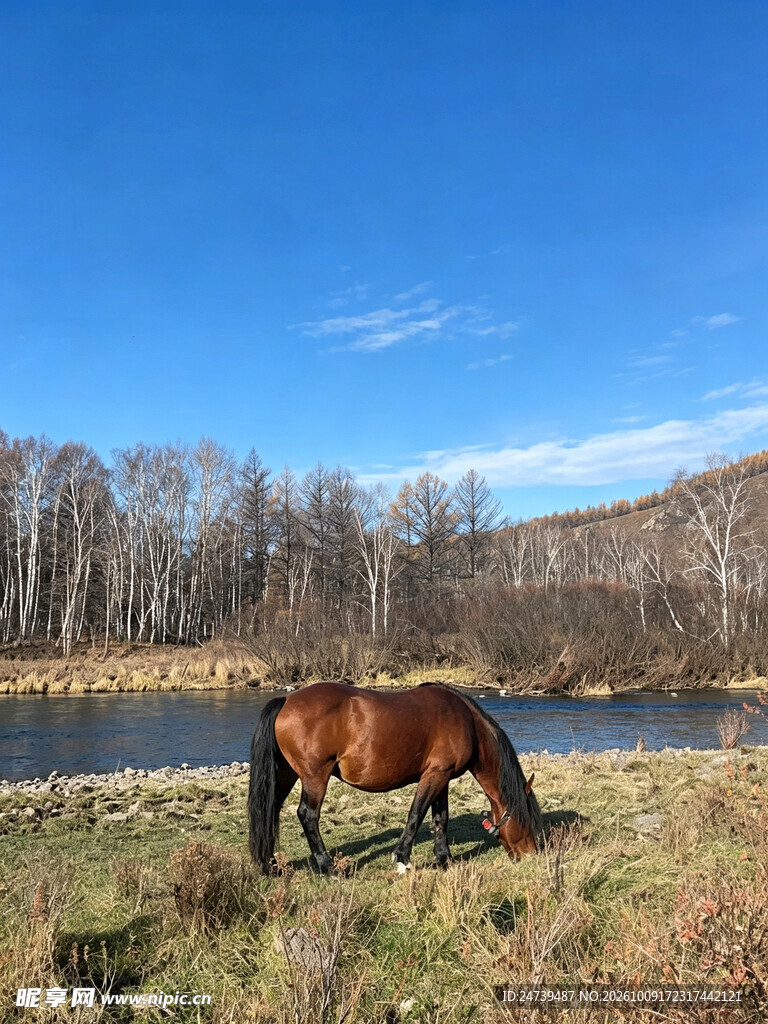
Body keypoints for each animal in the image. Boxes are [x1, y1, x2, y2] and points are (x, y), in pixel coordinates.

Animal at [248, 681, 541, 874]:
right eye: (527, 819)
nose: (531, 855)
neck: (467, 722)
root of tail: (286, 701)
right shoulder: (434, 775)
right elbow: (416, 814)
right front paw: (402, 859)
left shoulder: (442, 778)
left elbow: (440, 819)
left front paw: (443, 859)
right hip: (315, 776)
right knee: (307, 815)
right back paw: (326, 866)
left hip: (287, 773)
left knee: (270, 809)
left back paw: (270, 865)